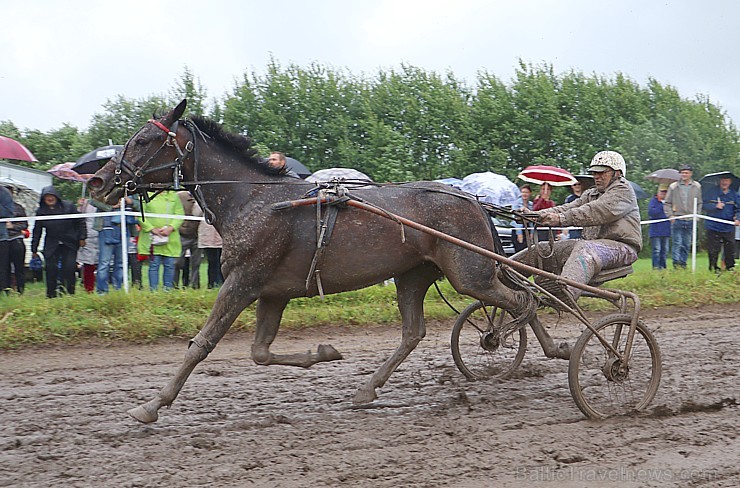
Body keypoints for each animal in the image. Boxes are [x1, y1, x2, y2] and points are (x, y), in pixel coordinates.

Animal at [89, 99, 536, 424]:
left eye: (143, 140)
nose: (100, 180)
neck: (254, 201)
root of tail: (473, 200)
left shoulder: (243, 280)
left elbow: (202, 343)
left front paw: (151, 405)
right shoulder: (271, 292)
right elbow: (261, 352)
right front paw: (324, 352)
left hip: (469, 273)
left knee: (523, 301)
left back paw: (515, 344)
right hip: (413, 275)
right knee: (417, 332)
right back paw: (367, 389)